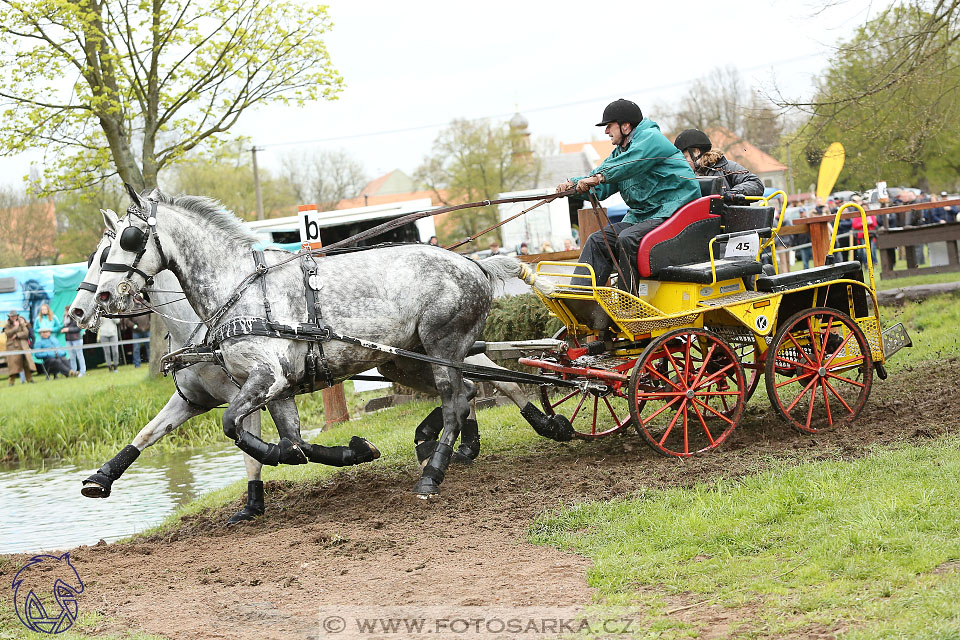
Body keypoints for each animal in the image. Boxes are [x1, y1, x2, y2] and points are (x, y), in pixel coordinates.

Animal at [95, 188, 556, 498]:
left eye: (128, 239)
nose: (101, 297)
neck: (239, 289)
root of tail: (476, 264)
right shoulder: (278, 387)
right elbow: (293, 441)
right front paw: (352, 450)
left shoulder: (266, 378)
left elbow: (231, 425)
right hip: (403, 361)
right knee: (469, 390)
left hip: (444, 346)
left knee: (455, 398)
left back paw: (435, 471)